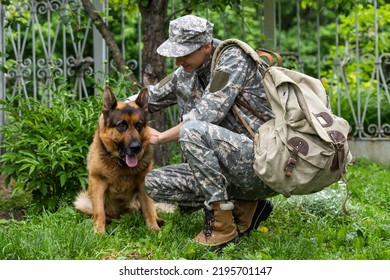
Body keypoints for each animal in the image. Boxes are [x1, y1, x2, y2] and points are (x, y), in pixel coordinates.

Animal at [74, 86, 164, 234]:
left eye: (139, 125)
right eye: (122, 125)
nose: (136, 147)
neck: (120, 164)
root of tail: (121, 217)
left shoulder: (143, 183)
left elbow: (148, 208)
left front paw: (153, 229)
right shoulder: (98, 183)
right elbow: (100, 212)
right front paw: (99, 233)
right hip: (82, 202)